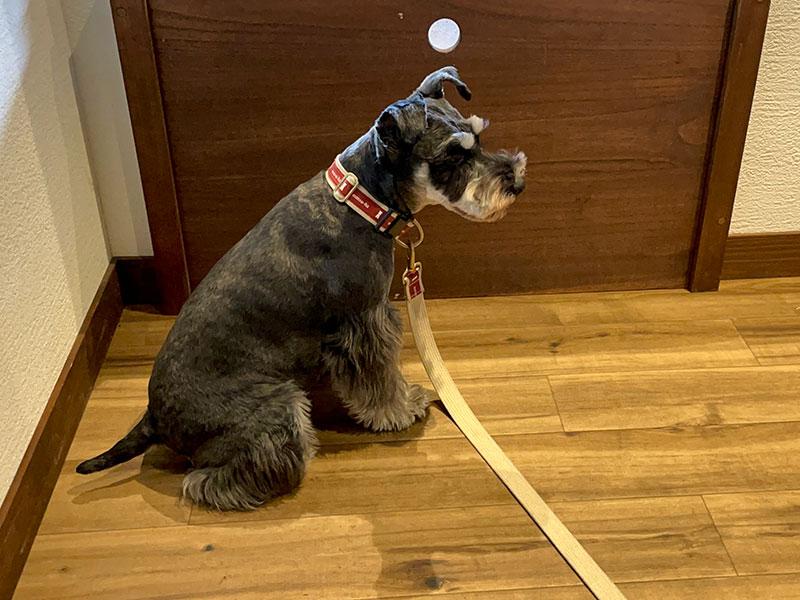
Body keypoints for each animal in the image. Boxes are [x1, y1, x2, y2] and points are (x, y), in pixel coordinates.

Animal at [77, 67, 527, 511]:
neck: (362, 200)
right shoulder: (364, 321)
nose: (516, 183)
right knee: (209, 478)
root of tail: (154, 417)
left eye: (478, 137)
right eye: (452, 156)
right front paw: (401, 409)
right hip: (275, 407)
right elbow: (380, 378)